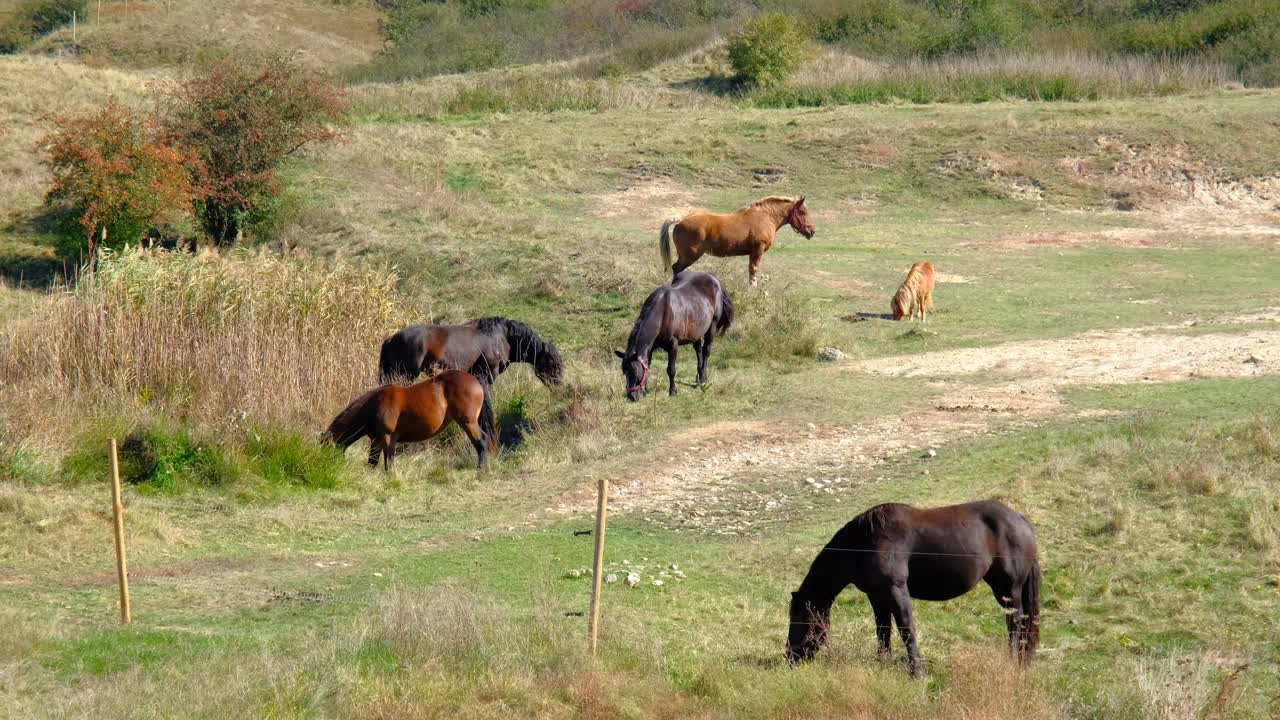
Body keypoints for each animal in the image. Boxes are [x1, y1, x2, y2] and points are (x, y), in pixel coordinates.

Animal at [320, 368, 499, 471]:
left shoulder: (388, 438)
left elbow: (389, 464)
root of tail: (475, 380)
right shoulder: (376, 440)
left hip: (468, 422)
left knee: (481, 442)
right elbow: (372, 462)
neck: (374, 404)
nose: (325, 466)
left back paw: (481, 470)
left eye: (326, 448)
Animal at [373, 315, 565, 386]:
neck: (502, 335)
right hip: (404, 376)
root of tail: (390, 339)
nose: (559, 385)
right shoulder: (488, 374)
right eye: (552, 363)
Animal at [616, 269, 737, 399]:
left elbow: (671, 369)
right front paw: (646, 390)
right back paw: (698, 377)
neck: (663, 313)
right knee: (698, 350)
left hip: (712, 326)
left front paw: (673, 390)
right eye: (624, 372)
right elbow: (648, 365)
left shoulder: (673, 345)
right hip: (696, 330)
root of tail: (714, 279)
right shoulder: (651, 347)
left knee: (706, 351)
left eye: (634, 371)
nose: (632, 397)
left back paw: (703, 378)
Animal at [655, 196, 814, 288]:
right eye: (802, 212)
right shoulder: (758, 250)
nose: (811, 231)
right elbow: (753, 271)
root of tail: (681, 219)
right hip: (690, 256)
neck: (765, 217)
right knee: (676, 268)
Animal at [783, 497, 1044, 676]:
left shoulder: (896, 590)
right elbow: (883, 631)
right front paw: (884, 665)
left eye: (799, 619)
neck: (865, 543)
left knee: (1015, 620)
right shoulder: (877, 596)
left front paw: (916, 672)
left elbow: (906, 629)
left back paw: (1013, 661)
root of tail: (1020, 520)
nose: (789, 656)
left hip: (1009, 589)